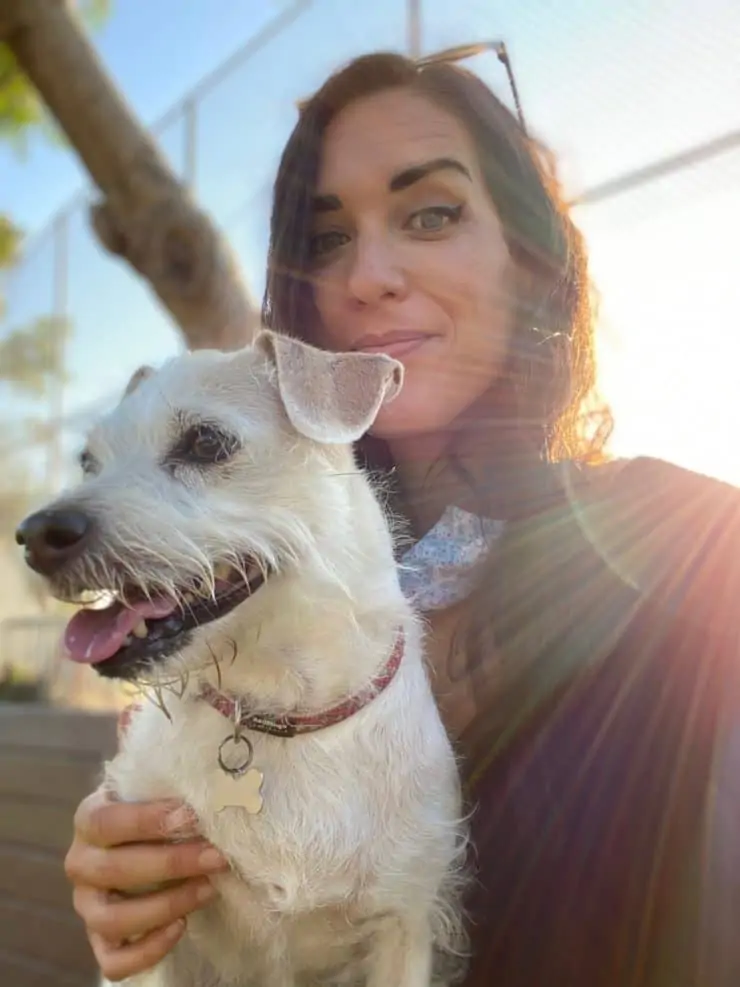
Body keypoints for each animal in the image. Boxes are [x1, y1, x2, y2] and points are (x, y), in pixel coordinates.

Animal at [20, 334, 466, 987]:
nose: (33, 535)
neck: (280, 709)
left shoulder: (401, 928)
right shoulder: (150, 921)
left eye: (206, 442)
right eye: (88, 462)